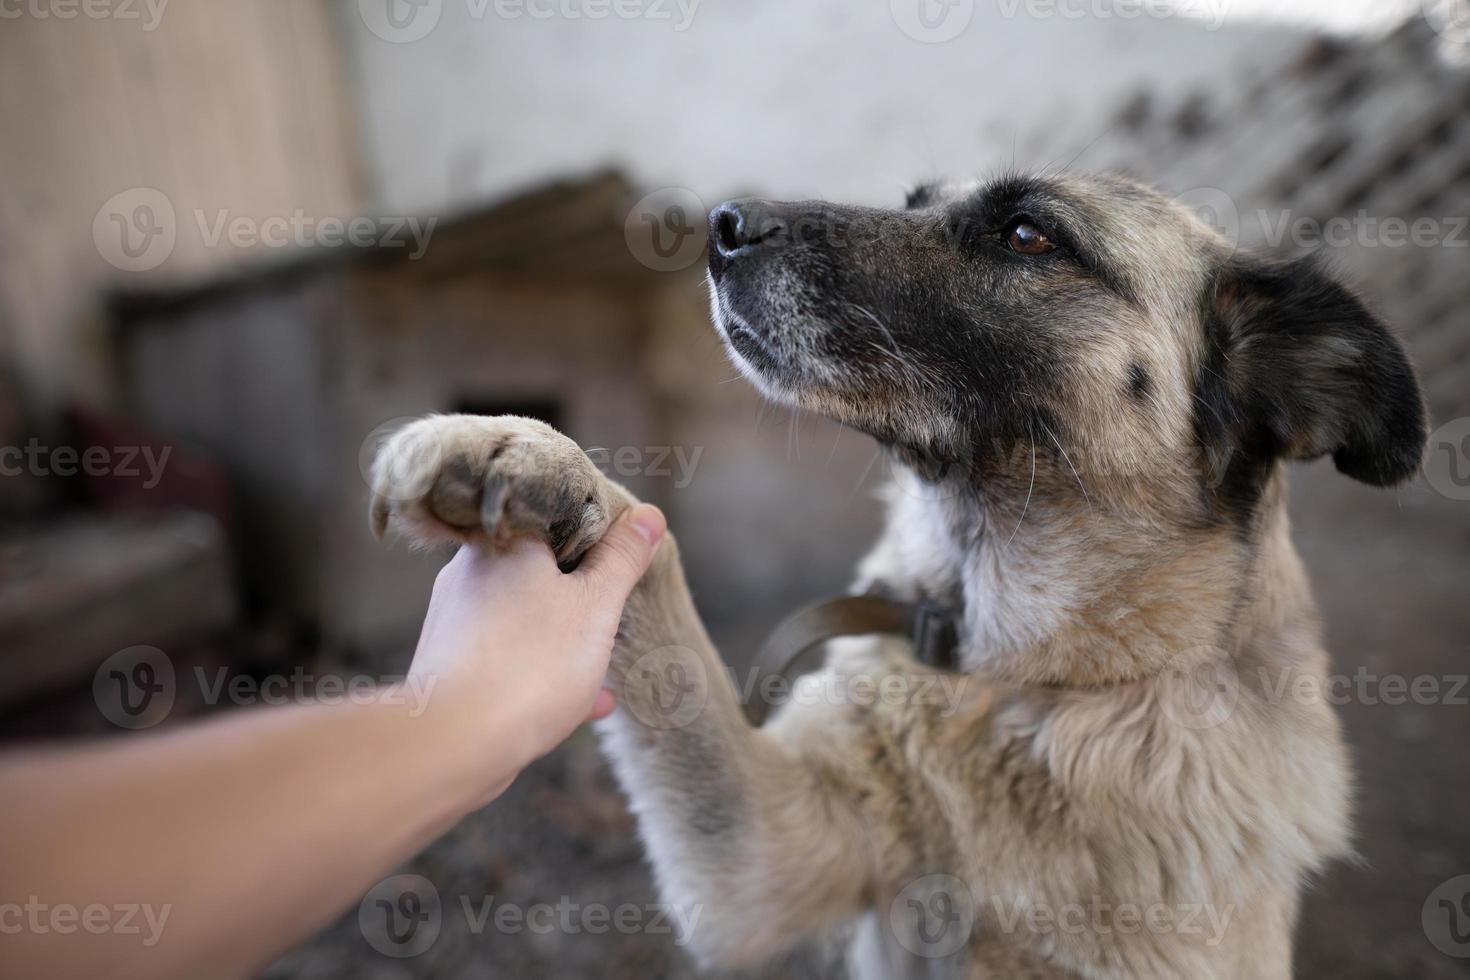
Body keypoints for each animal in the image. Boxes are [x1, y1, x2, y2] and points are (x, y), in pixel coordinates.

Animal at [373, 172, 1428, 975]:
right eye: (917, 199)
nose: (722, 225)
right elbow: (655, 572)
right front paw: (538, 458)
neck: (1009, 676)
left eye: (1027, 234)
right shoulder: (762, 863)